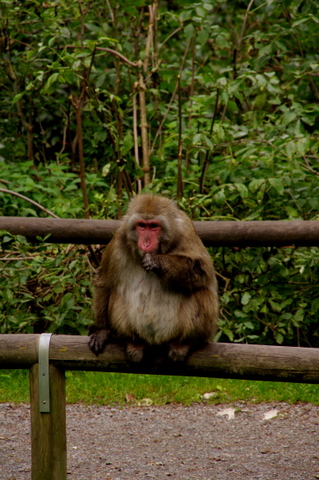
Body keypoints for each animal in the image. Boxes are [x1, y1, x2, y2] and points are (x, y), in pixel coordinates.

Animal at [90, 193, 220, 362]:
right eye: (141, 225)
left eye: (153, 226)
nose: (145, 243)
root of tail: (156, 342)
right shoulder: (118, 241)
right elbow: (105, 283)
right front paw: (102, 331)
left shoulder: (187, 232)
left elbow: (202, 270)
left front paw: (157, 262)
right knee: (115, 295)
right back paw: (134, 342)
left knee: (201, 292)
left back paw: (185, 343)